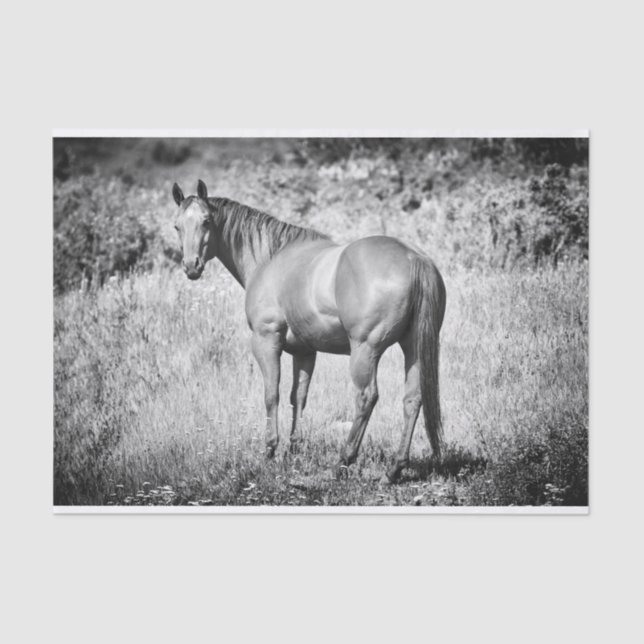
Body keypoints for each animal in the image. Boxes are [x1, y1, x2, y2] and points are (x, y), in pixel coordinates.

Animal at [172, 180, 446, 482]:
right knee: (412, 399)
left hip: (365, 350)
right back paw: (394, 469)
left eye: (206, 221)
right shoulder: (304, 351)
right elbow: (298, 396)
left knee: (366, 397)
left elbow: (272, 394)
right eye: (177, 226)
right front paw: (293, 449)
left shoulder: (266, 341)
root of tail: (413, 257)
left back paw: (344, 460)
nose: (191, 266)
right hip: (413, 347)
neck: (270, 260)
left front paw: (270, 451)